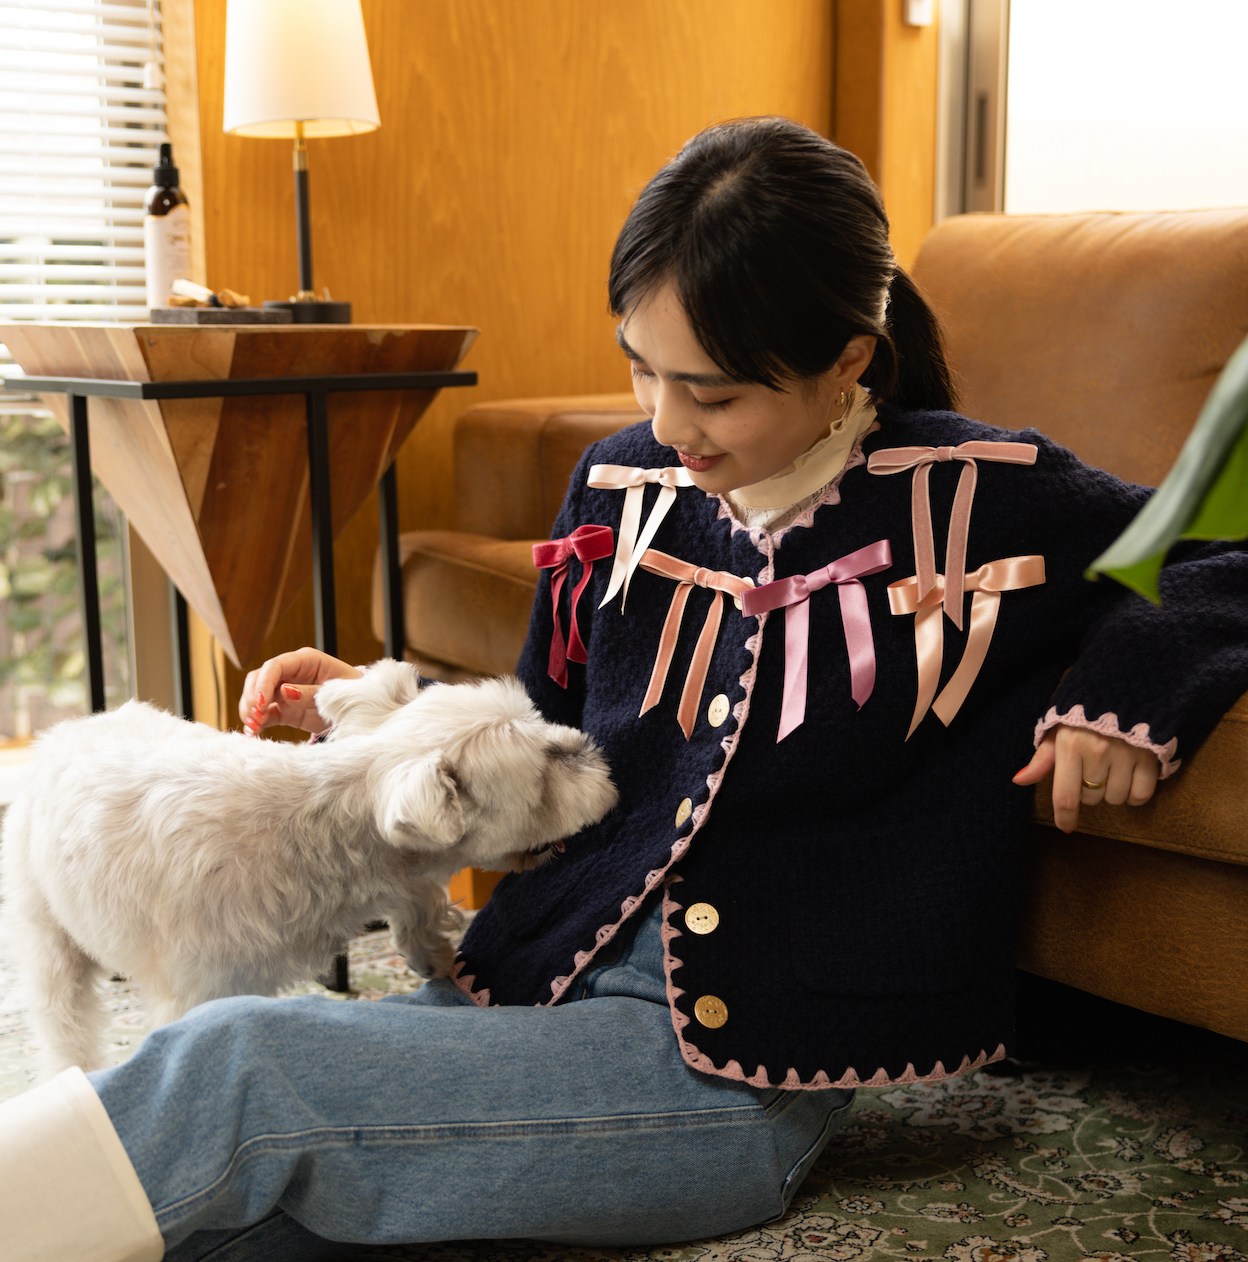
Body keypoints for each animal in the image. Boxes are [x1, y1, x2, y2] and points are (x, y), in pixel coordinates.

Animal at [0, 656, 613, 1080]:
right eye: (546, 768)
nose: (587, 744)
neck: (320, 827)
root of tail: (58, 734)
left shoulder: (397, 874)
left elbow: (416, 902)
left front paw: (432, 952)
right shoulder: (199, 989)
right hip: (47, 935)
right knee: (64, 1021)